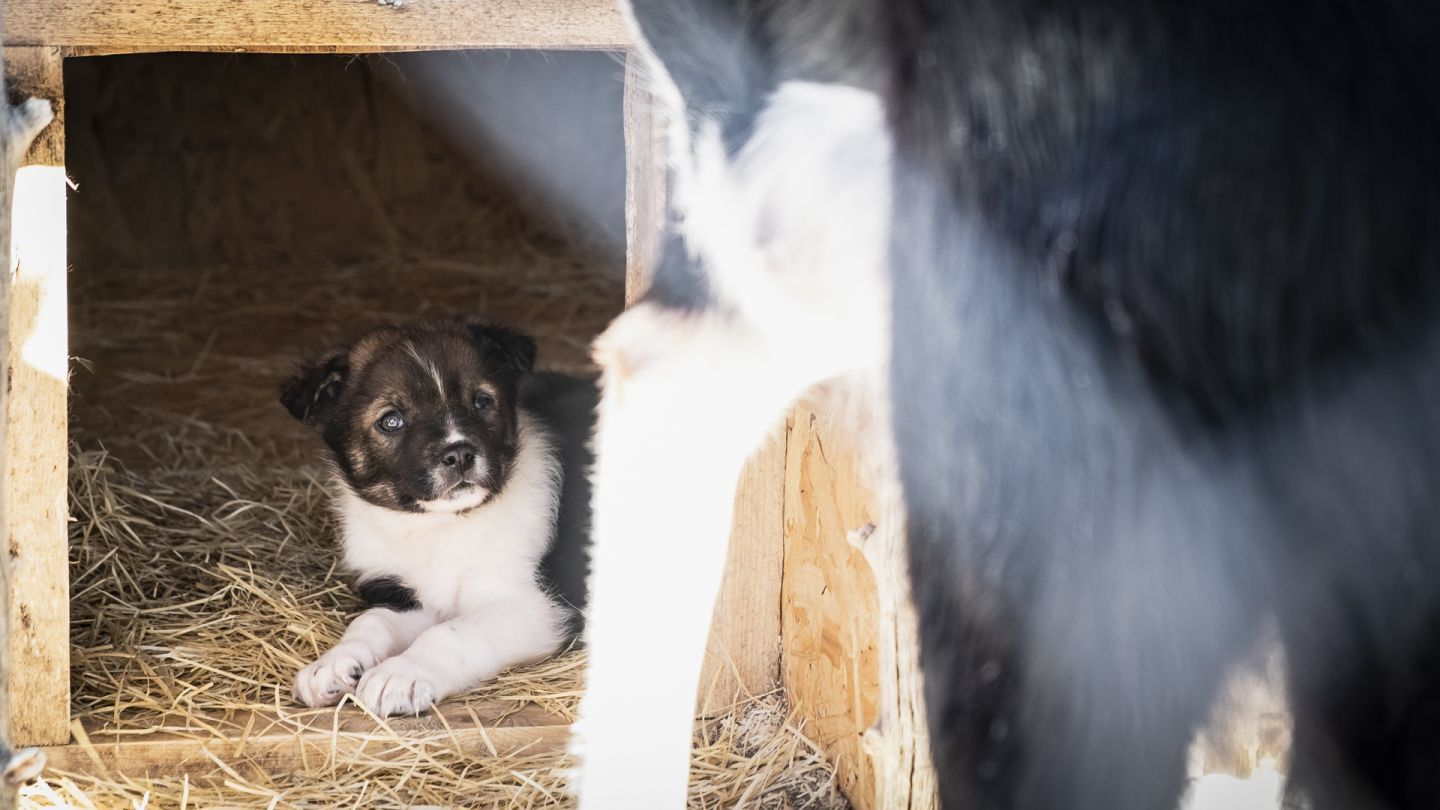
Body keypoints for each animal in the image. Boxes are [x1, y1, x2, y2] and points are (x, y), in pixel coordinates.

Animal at [280, 315, 596, 711]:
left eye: (482, 401)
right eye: (391, 421)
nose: (459, 454)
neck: (440, 526)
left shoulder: (536, 605)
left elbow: (451, 634)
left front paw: (401, 674)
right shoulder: (406, 596)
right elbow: (371, 623)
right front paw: (333, 663)